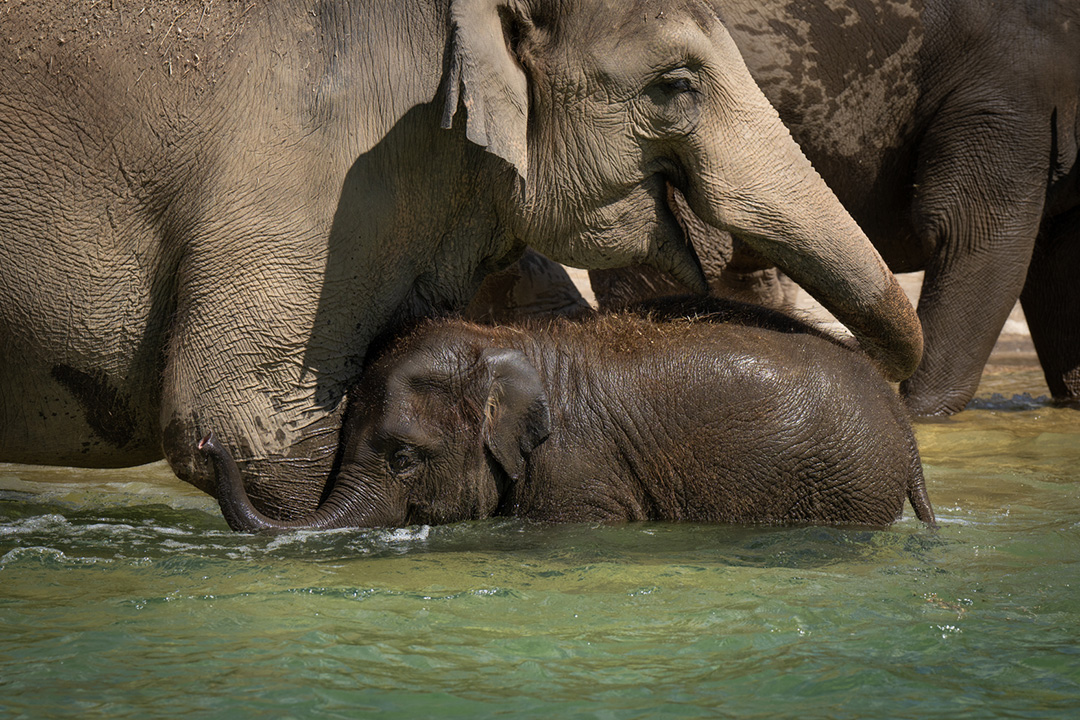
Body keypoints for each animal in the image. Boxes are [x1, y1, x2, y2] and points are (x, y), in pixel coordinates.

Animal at [200, 295, 937, 533]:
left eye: (404, 458)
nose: (208, 442)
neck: (503, 343)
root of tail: (900, 422)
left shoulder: (577, 470)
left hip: (846, 484)